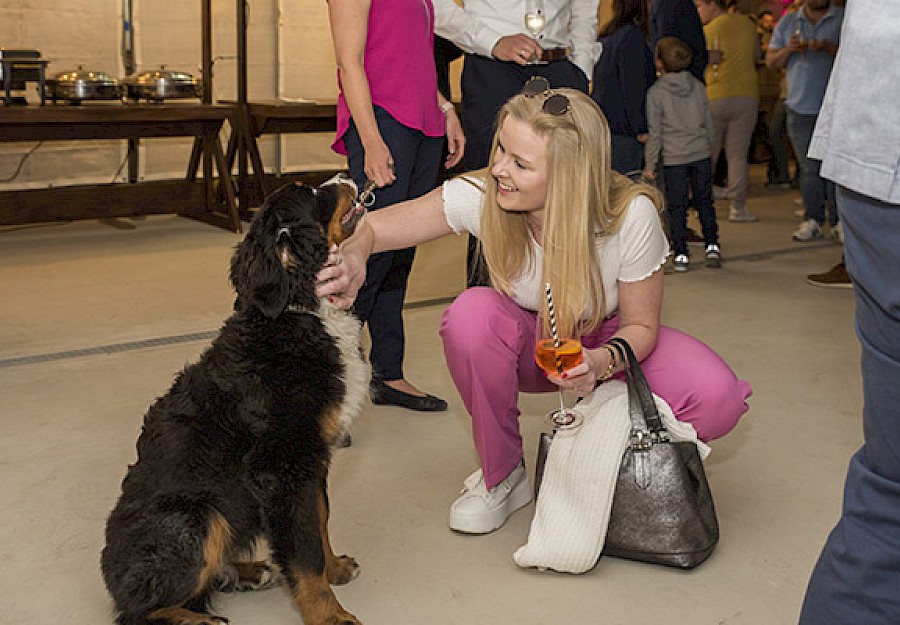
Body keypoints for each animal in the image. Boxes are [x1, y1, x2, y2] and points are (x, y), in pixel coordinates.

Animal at [103, 177, 370, 624]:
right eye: (315, 195)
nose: (346, 177)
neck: (297, 315)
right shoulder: (282, 467)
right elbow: (304, 551)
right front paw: (329, 613)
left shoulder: (311, 458)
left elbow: (319, 521)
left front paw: (334, 568)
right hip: (197, 516)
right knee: (137, 611)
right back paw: (201, 618)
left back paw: (246, 571)